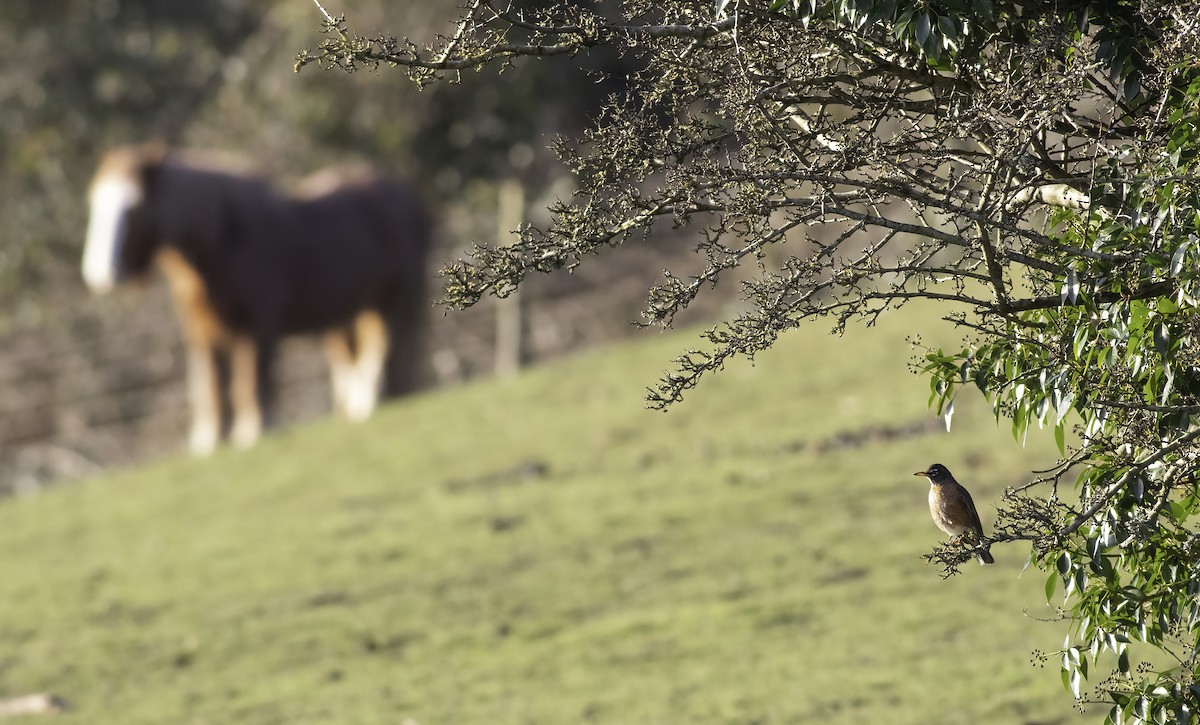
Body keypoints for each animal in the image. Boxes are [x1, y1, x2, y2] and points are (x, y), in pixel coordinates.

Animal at [77, 142, 432, 453]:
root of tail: (408, 198)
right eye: (94, 203)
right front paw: (209, 442)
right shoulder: (202, 332)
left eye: (133, 207)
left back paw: (367, 402)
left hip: (394, 300)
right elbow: (211, 387)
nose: (100, 273)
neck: (224, 239)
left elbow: (251, 382)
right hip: (353, 312)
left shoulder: (260, 327)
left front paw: (254, 432)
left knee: (382, 349)